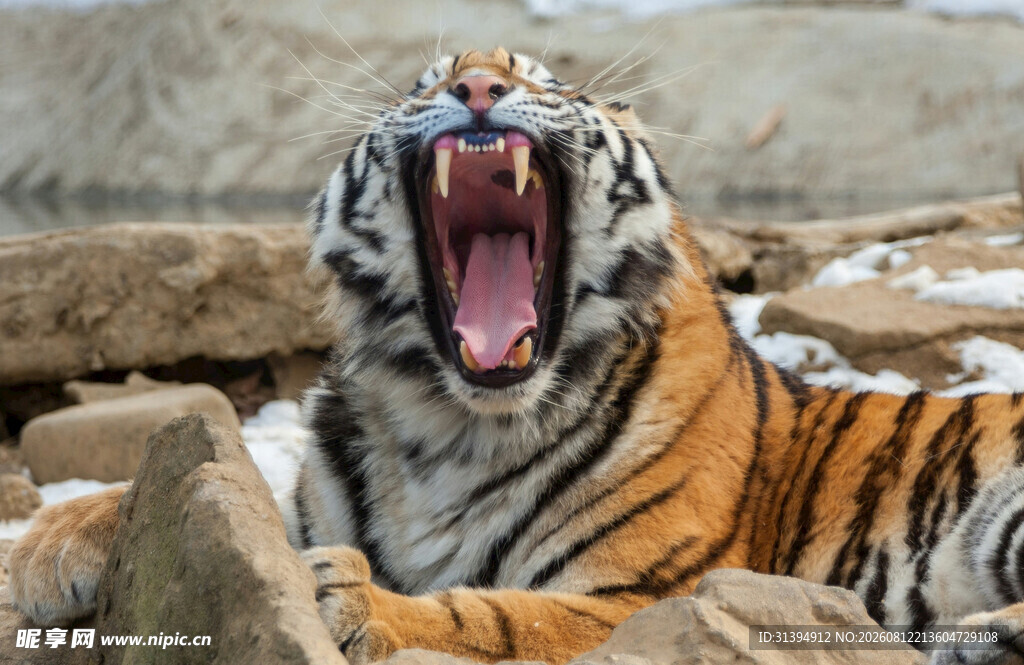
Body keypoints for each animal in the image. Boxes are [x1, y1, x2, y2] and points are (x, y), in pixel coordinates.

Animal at [9, 47, 1024, 665]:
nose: (477, 87)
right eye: (423, 86)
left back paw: (974, 634)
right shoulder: (302, 504)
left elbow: (499, 611)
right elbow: (222, 483)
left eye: (548, 81)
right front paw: (44, 548)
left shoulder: (640, 591)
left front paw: (354, 599)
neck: (448, 423)